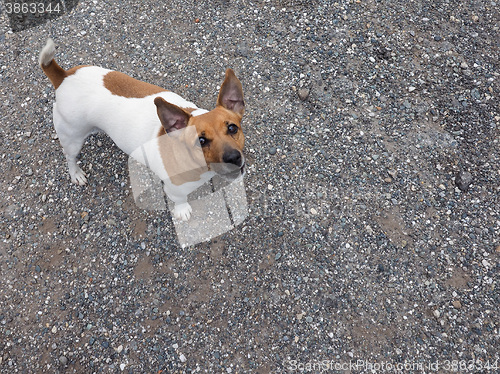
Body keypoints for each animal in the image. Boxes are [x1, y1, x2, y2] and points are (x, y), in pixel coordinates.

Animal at [38, 38, 245, 221]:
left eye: (232, 128)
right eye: (200, 141)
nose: (234, 158)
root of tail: (63, 77)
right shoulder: (174, 189)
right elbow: (180, 200)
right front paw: (183, 210)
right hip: (72, 138)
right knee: (70, 158)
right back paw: (76, 174)